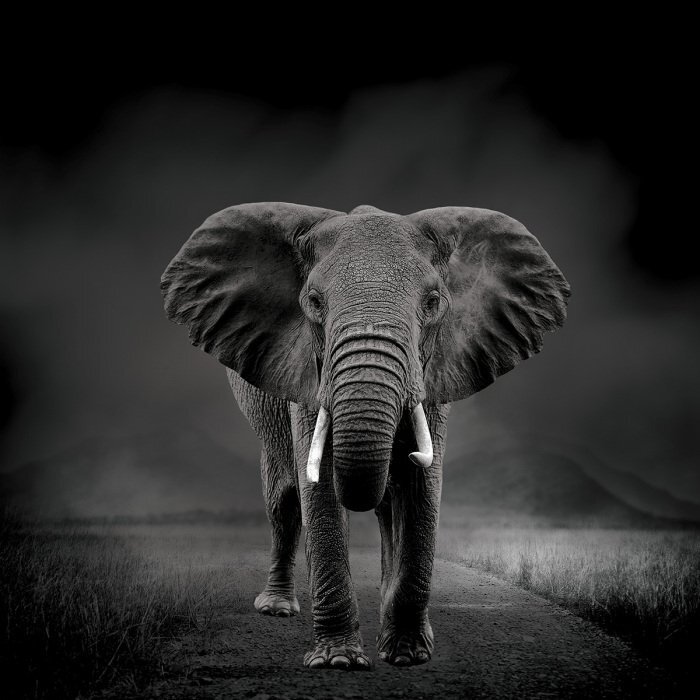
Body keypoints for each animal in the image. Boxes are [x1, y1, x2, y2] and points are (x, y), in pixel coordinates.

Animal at [161, 202, 570, 670]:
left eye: (433, 303)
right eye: (313, 302)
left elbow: (421, 487)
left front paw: (408, 655)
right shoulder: (308, 372)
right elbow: (318, 488)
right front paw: (338, 661)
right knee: (283, 501)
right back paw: (277, 608)